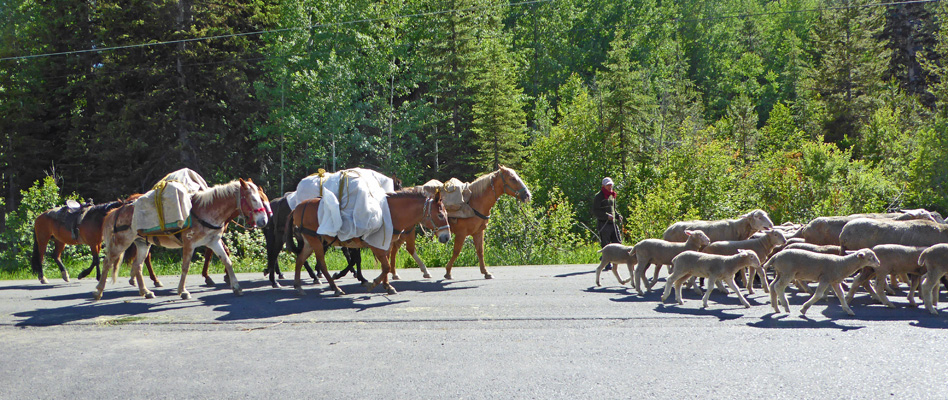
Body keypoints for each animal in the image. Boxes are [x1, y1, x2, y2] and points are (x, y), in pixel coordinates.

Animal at [31, 200, 163, 288]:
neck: (97, 219)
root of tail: (39, 217)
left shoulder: (97, 243)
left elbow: (97, 260)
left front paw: (97, 276)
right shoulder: (92, 243)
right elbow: (96, 260)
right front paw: (83, 274)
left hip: (60, 241)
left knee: (56, 256)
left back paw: (65, 275)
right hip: (43, 240)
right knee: (40, 258)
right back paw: (43, 278)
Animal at [93, 179, 268, 300]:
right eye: (253, 199)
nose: (264, 221)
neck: (206, 210)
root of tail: (119, 209)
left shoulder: (213, 241)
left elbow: (227, 261)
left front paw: (236, 286)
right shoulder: (189, 244)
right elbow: (185, 267)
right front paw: (183, 291)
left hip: (142, 244)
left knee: (138, 265)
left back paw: (146, 291)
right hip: (121, 242)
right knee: (107, 262)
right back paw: (98, 291)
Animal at [288, 189, 452, 296]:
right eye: (440, 214)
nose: (447, 237)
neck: (390, 213)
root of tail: (299, 207)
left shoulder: (386, 244)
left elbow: (386, 265)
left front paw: (387, 286)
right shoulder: (375, 245)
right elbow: (386, 266)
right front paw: (373, 283)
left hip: (310, 241)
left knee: (300, 259)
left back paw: (298, 286)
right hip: (316, 241)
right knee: (321, 264)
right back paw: (335, 288)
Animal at [386, 166, 532, 282]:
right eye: (512, 178)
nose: (527, 195)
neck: (474, 203)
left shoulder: (478, 232)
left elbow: (480, 251)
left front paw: (486, 272)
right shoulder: (461, 233)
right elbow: (457, 251)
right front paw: (448, 272)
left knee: (396, 247)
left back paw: (395, 273)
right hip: (408, 229)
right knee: (406, 248)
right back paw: (421, 271)